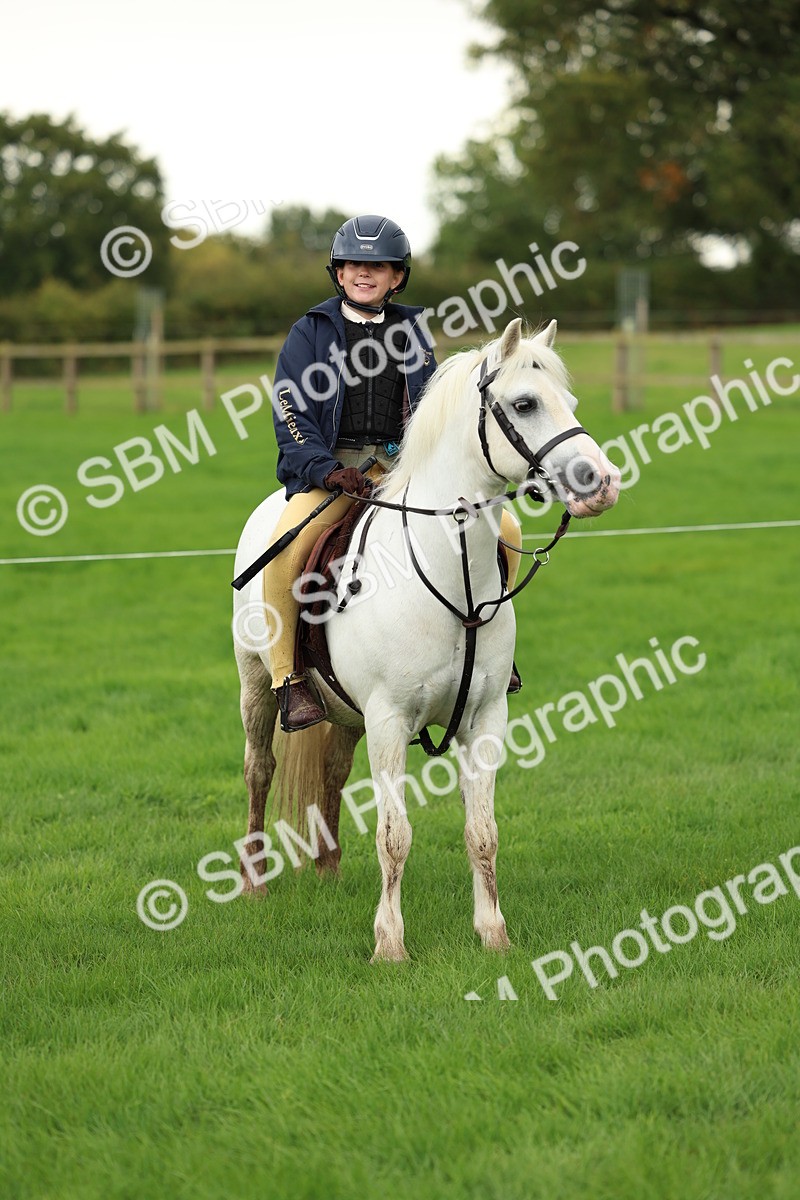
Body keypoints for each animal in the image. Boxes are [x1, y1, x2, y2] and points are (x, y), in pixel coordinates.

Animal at [231, 317, 621, 962]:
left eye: (570, 402)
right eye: (525, 403)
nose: (603, 483)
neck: (448, 572)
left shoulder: (484, 719)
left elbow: (482, 833)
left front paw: (494, 934)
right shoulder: (390, 720)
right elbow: (395, 835)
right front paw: (390, 945)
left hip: (346, 713)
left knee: (332, 770)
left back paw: (329, 870)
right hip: (258, 685)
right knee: (259, 769)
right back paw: (254, 882)